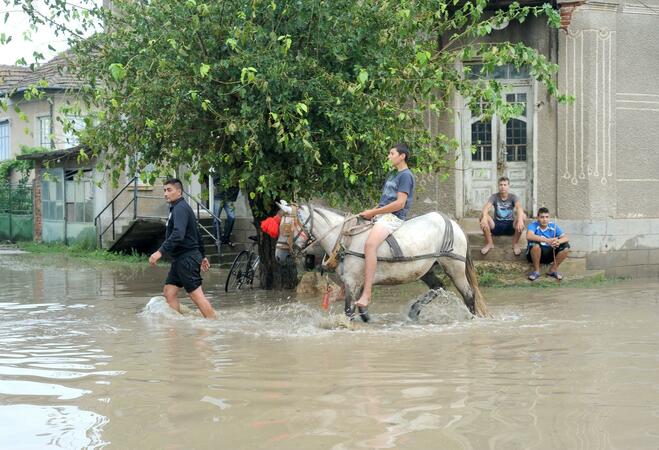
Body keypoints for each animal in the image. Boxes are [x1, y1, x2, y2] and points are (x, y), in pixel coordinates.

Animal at [274, 204, 490, 320]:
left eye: (287, 228)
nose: (279, 257)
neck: (345, 239)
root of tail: (453, 223)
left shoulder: (352, 282)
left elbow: (349, 311)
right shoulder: (355, 284)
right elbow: (360, 311)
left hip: (454, 266)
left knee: (468, 294)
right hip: (426, 269)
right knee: (438, 287)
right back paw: (414, 311)